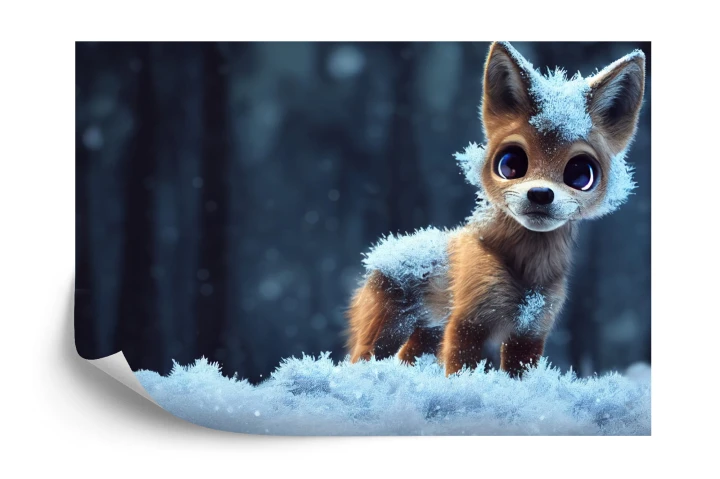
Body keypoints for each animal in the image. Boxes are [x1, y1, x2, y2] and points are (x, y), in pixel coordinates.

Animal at [345, 41, 646, 378]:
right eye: (511, 164)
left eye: (581, 174)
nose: (540, 194)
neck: (528, 273)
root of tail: (384, 251)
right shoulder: (468, 322)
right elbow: (461, 370)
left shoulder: (530, 331)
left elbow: (519, 377)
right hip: (388, 331)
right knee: (360, 358)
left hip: (427, 335)